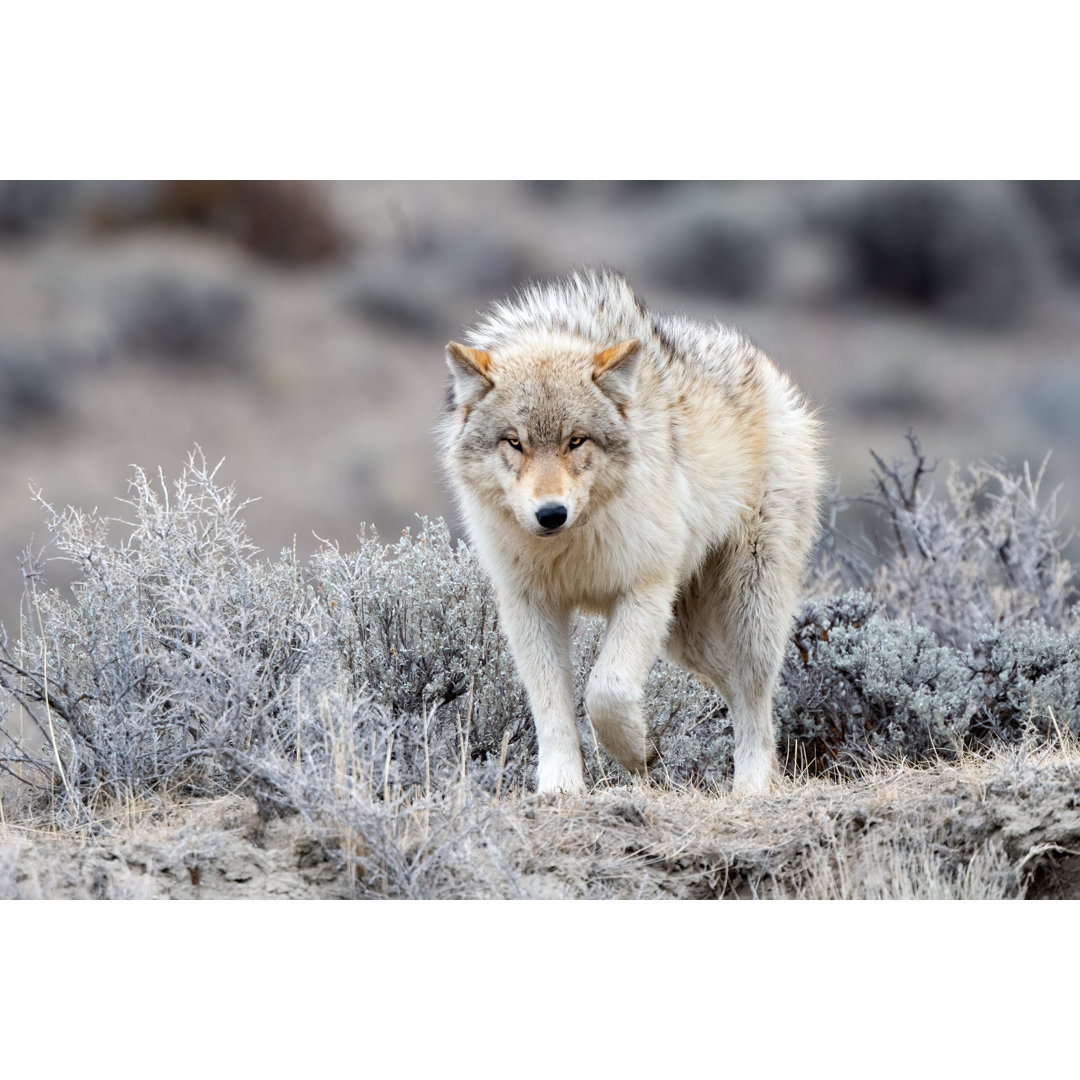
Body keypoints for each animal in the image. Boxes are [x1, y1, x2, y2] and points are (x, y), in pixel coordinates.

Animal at [438, 270, 825, 794]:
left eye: (575, 440)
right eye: (514, 442)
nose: (551, 514)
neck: (571, 546)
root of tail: (769, 371)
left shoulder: (645, 589)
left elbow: (607, 691)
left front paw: (635, 751)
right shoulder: (529, 605)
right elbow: (552, 709)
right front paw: (560, 787)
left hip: (749, 613)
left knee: (755, 700)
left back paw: (752, 787)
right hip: (685, 636)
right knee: (730, 688)